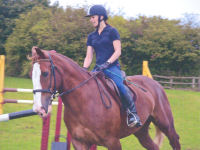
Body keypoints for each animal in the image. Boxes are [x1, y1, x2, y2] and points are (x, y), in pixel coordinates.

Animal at [30, 46, 180, 149]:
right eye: (32, 74)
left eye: (45, 73)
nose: (38, 109)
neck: (84, 102)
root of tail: (155, 83)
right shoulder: (80, 142)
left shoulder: (112, 142)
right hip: (141, 131)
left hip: (165, 124)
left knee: (174, 140)